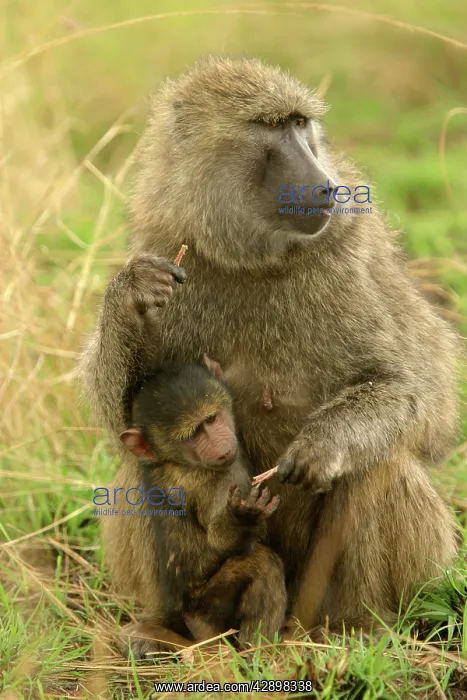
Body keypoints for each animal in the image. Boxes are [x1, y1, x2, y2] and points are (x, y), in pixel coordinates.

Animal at [114, 359, 286, 658]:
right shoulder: (211, 482)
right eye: (193, 435)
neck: (176, 461)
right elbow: (220, 538)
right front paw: (242, 520)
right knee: (264, 565)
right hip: (205, 607)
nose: (221, 449)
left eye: (211, 419)